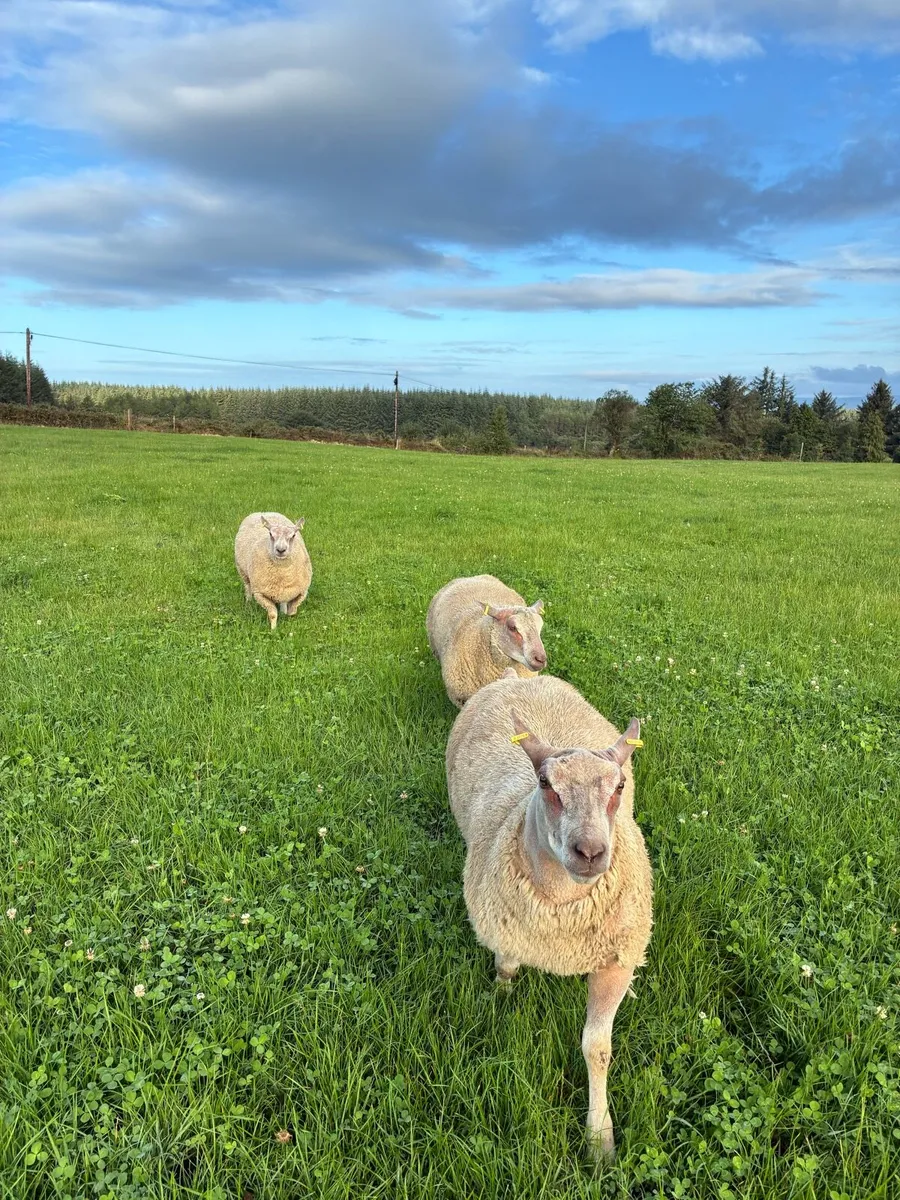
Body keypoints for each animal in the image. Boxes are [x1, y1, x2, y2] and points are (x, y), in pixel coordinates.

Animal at [445, 672, 652, 1158]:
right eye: (545, 783)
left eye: (618, 787)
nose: (590, 852)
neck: (561, 910)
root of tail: (517, 677)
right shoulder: (505, 931)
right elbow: (505, 972)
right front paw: (499, 1003)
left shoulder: (613, 960)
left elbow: (597, 1048)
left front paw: (599, 1137)